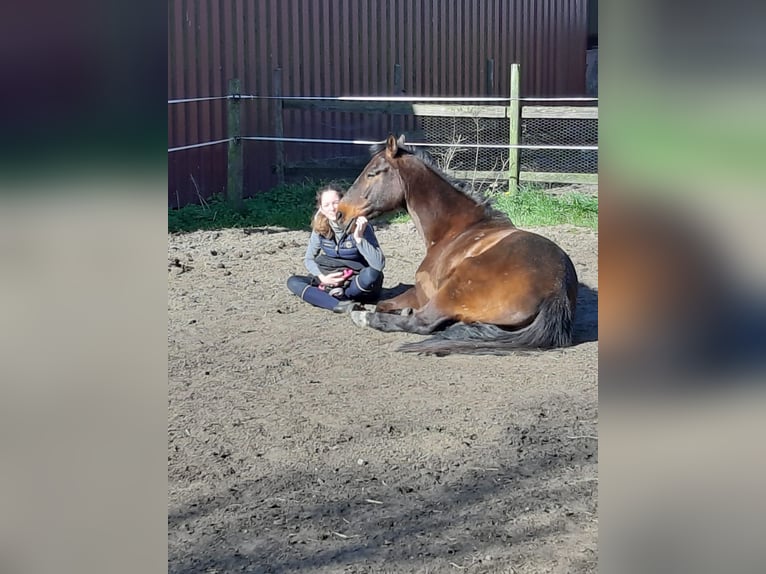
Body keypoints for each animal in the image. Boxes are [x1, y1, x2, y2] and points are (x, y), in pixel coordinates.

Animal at [338, 134, 584, 356]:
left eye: (372, 173)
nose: (340, 213)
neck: (455, 230)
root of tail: (556, 290)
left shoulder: (422, 292)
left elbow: (385, 303)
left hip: (451, 292)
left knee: (421, 322)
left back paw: (363, 316)